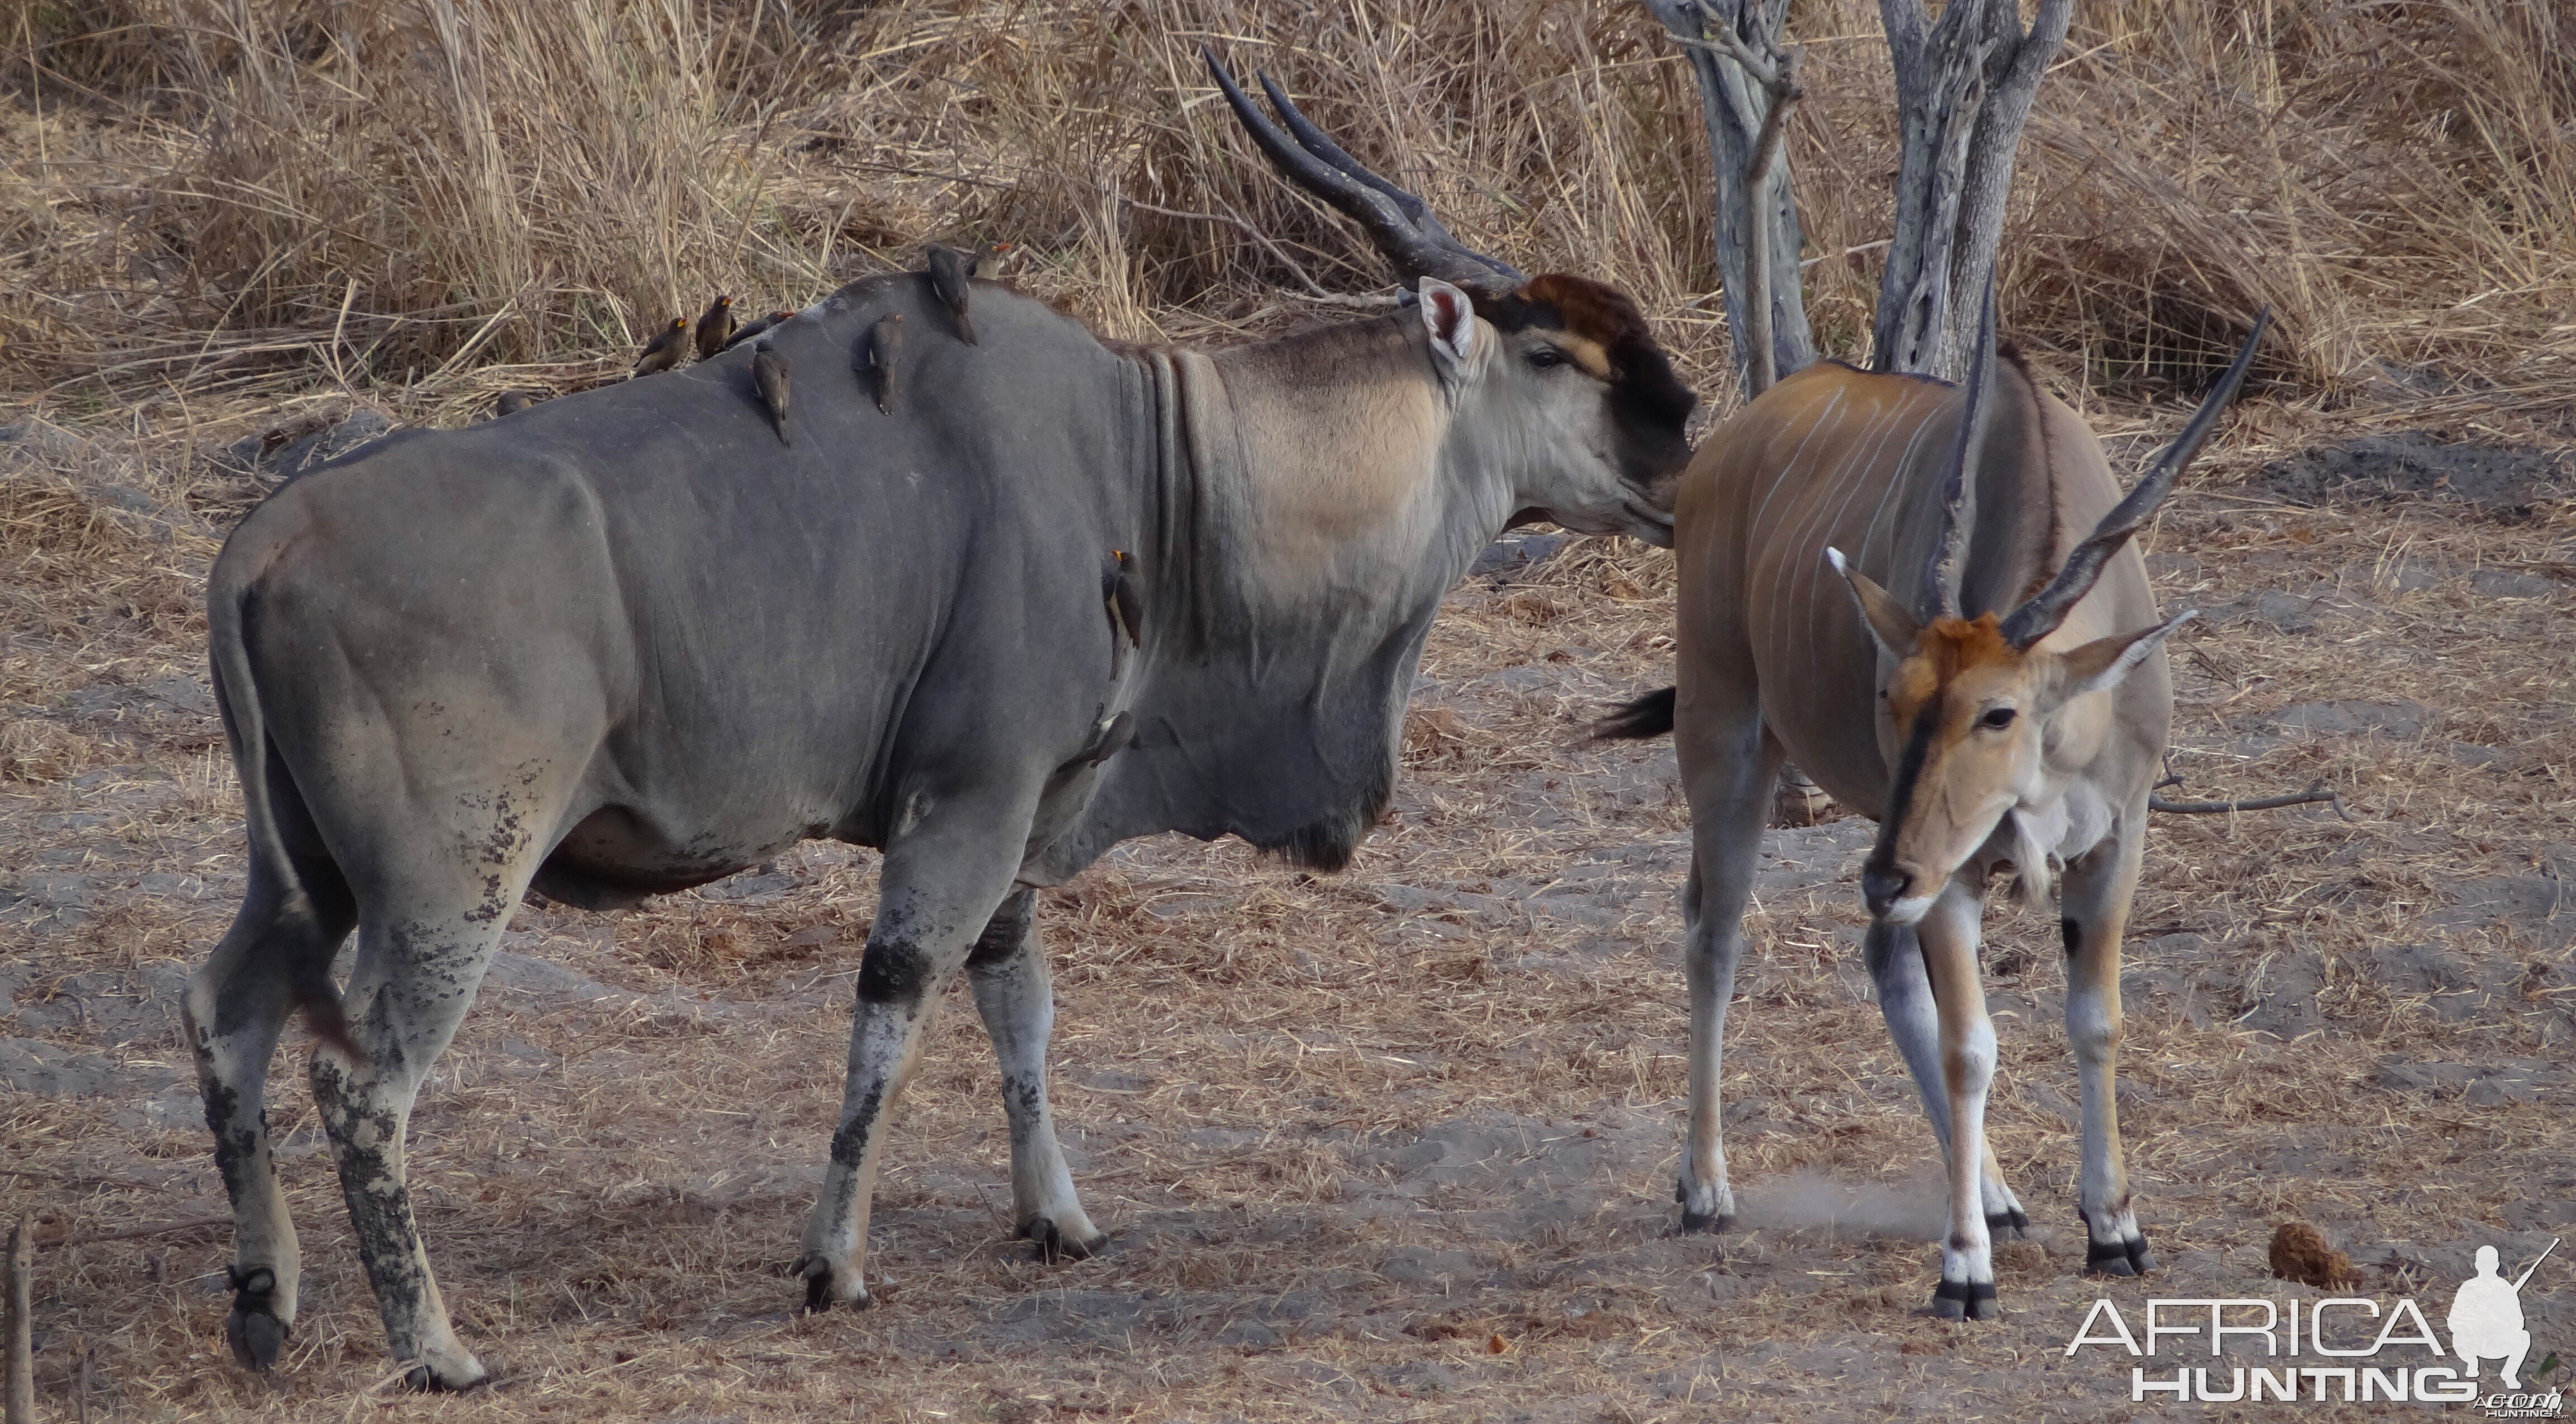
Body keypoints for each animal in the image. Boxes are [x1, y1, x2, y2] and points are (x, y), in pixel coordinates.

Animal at [187, 55, 1710, 1390]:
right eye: (1551, 350)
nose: (1688, 446)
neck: (1160, 458)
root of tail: (264, 543)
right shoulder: (968, 806)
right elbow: (901, 999)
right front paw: (834, 1264)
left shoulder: (1025, 820)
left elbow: (1016, 997)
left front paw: (1058, 1217)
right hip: (455, 886)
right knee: (363, 1088)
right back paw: (436, 1348)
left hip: (304, 875)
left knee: (223, 1008)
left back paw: (266, 1301)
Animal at [1597, 297, 2267, 1308]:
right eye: (1895, 694)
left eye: (1997, 711)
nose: (1884, 875)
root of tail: (1730, 442)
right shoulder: (1952, 874)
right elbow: (1970, 1047)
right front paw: (1962, 1270)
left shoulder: (2114, 842)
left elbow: (2094, 1019)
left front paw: (2113, 1226)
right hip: (1728, 741)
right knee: (1714, 938)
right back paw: (1706, 1188)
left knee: (1877, 957)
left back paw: (1993, 1192)